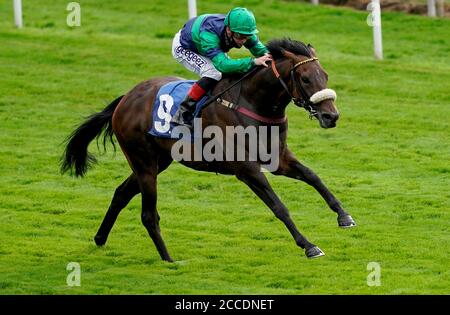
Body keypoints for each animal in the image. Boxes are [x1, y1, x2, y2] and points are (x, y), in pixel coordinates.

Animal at [60, 39, 356, 262]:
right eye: (305, 79)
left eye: (325, 75)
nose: (331, 116)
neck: (252, 103)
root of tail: (126, 99)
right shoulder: (247, 170)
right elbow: (279, 207)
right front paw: (309, 245)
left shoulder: (279, 159)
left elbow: (314, 177)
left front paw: (344, 216)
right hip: (144, 163)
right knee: (148, 214)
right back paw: (168, 259)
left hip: (158, 161)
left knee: (121, 193)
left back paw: (100, 239)